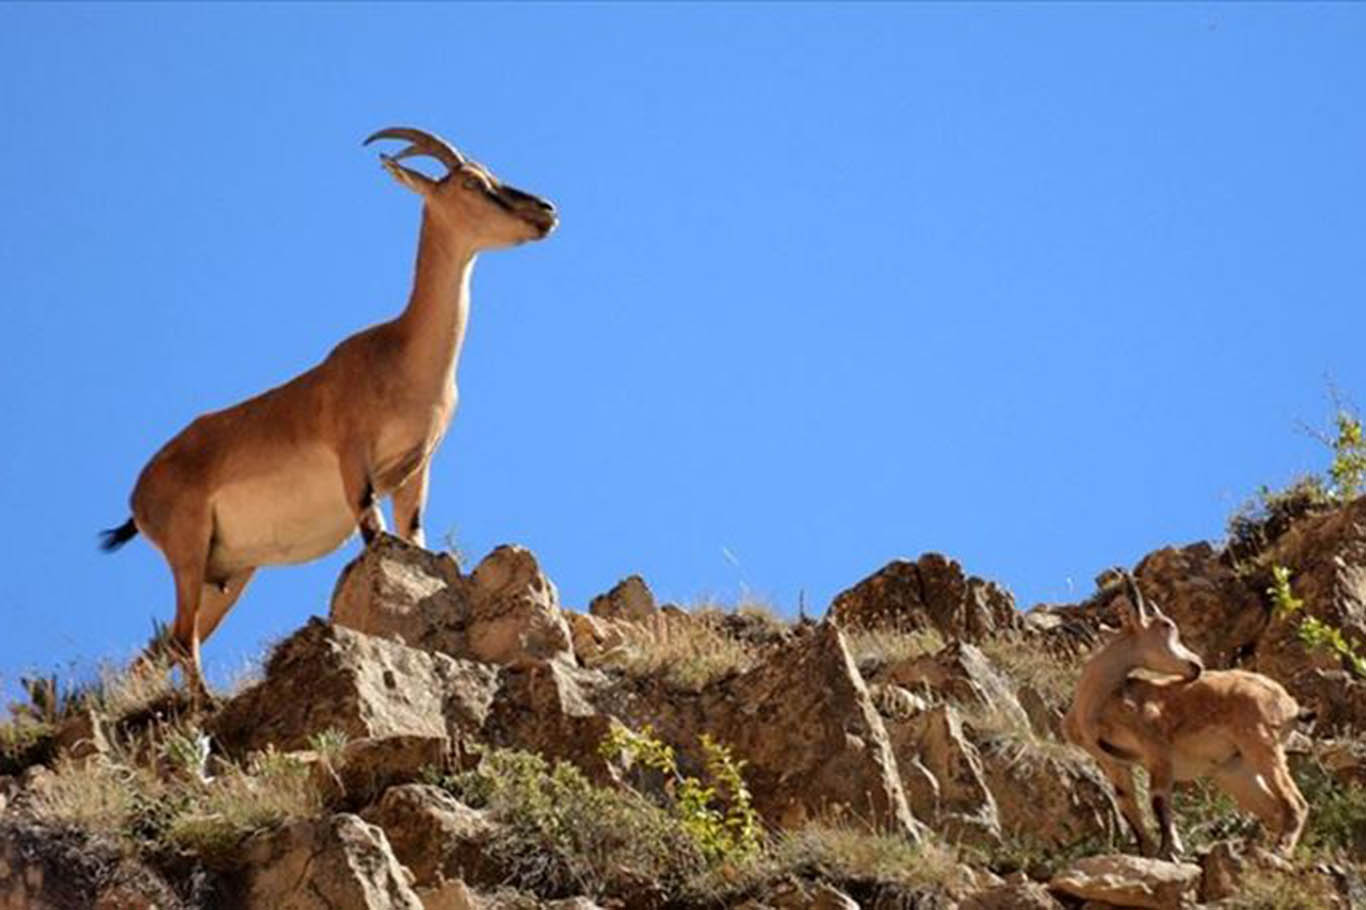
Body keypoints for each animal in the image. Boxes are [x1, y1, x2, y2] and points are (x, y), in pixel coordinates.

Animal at [99, 125, 560, 694]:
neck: (402, 356)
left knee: (162, 646)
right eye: (472, 182)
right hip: (187, 549)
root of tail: (139, 494)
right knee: (183, 640)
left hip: (226, 572)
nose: (545, 210)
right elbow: (374, 535)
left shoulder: (416, 469)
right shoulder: (352, 459)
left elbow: (413, 535)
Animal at [1060, 571, 1305, 852]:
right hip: (1235, 770)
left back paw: (1280, 849)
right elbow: (1127, 805)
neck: (1094, 704)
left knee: (1296, 802)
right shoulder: (1112, 761)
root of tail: (1289, 703)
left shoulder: (1156, 749)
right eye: (1166, 626)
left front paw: (1171, 851)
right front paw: (1151, 852)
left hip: (1261, 743)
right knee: (1274, 810)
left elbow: (1158, 799)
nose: (1196, 664)